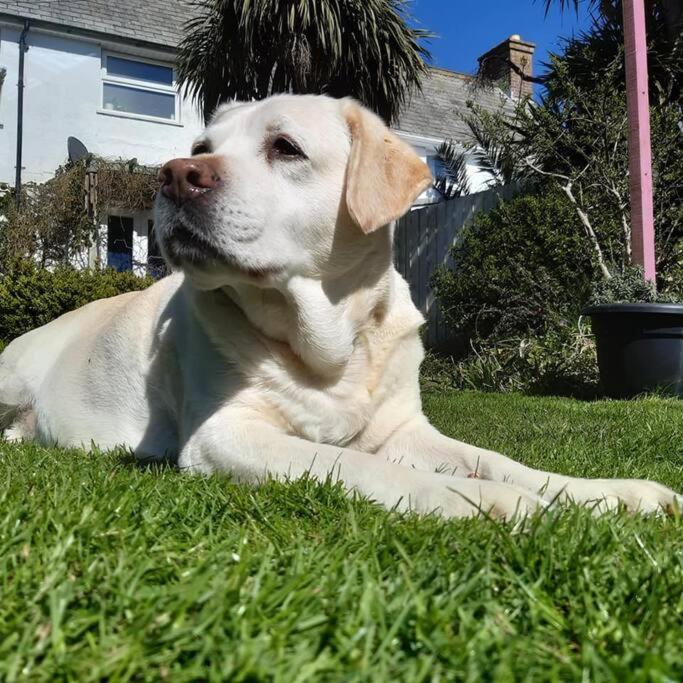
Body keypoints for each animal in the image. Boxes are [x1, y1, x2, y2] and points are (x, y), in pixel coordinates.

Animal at [2, 96, 680, 520]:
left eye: (285, 147)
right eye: (201, 144)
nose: (172, 175)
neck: (331, 346)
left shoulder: (407, 429)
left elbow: (499, 461)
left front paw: (612, 495)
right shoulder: (226, 434)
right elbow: (351, 463)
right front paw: (485, 502)